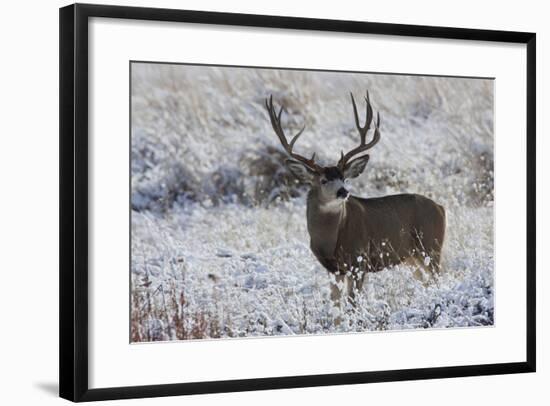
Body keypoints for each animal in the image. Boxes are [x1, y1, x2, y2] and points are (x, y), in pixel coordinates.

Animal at [266, 93, 448, 314]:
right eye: (323, 180)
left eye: (344, 178)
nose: (343, 191)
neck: (330, 240)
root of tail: (440, 208)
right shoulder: (333, 269)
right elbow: (336, 306)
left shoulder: (359, 261)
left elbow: (353, 303)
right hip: (411, 258)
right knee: (426, 281)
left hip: (431, 246)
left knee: (438, 279)